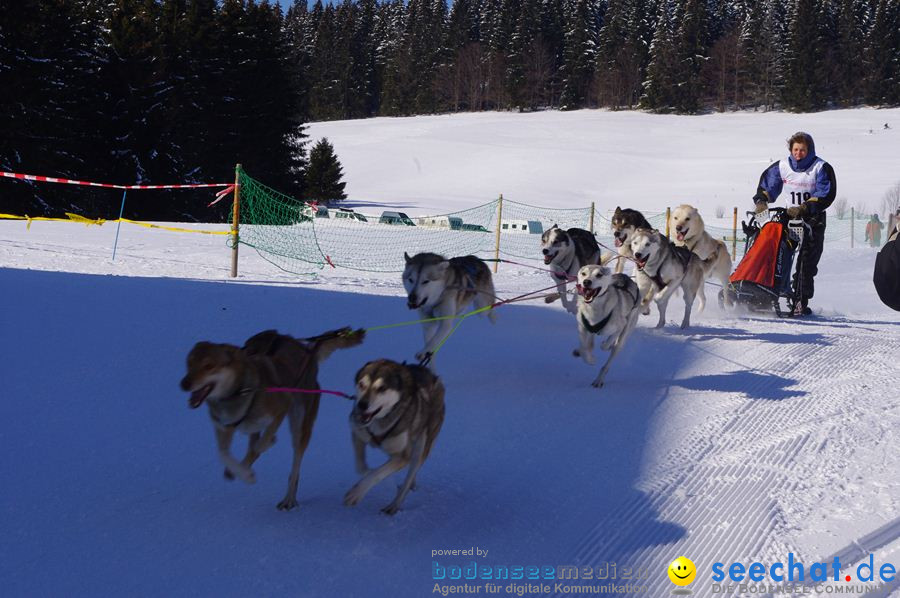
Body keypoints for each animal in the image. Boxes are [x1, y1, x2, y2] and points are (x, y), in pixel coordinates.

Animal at [181, 328, 364, 510]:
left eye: (209, 366)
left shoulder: (281, 408)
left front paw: (261, 453)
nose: (184, 384)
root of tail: (305, 348)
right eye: (188, 364)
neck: (238, 392)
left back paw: (288, 498)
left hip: (300, 425)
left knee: (294, 467)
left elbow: (261, 444)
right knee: (251, 449)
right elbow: (223, 453)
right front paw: (243, 473)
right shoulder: (223, 427)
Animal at [342, 358, 444, 516]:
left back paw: (393, 506)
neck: (378, 422)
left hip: (421, 448)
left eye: (382, 388)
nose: (362, 405)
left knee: (409, 477)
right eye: (361, 384)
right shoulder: (358, 434)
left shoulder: (402, 457)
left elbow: (377, 473)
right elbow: (361, 467)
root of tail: (434, 378)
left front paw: (357, 493)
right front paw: (369, 474)